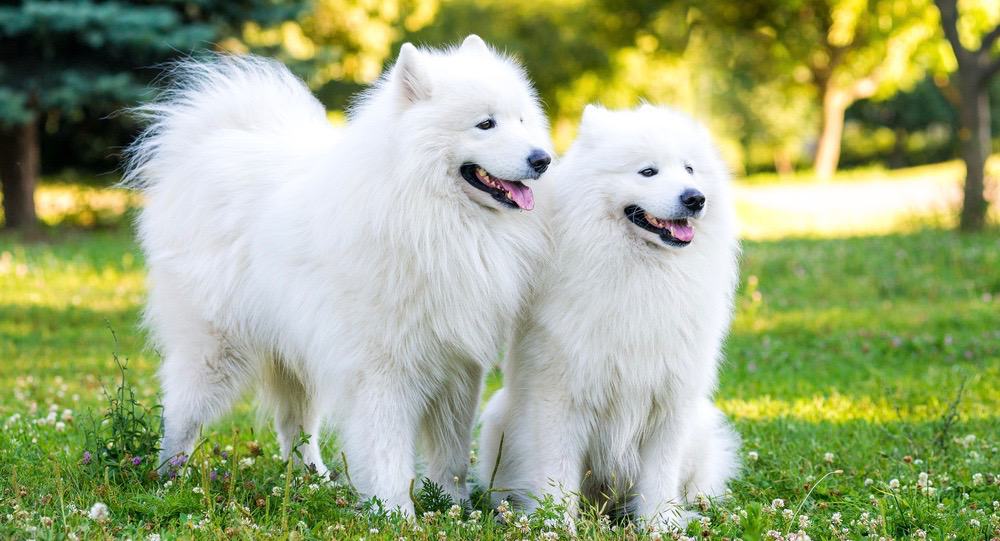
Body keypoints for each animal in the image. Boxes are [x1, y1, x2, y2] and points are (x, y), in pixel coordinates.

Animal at [123, 35, 556, 512]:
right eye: (485, 124)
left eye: (522, 119)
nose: (543, 159)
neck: (427, 212)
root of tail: (211, 143)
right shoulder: (383, 369)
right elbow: (387, 451)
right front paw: (397, 513)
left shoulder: (458, 366)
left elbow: (451, 453)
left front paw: (455, 507)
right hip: (215, 350)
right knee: (182, 414)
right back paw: (169, 480)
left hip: (294, 354)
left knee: (294, 426)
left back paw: (316, 481)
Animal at [476, 103, 744, 524]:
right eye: (647, 171)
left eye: (689, 169)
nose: (695, 198)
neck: (644, 274)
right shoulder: (562, 396)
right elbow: (557, 473)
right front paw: (558, 524)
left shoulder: (671, 400)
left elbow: (660, 476)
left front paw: (661, 525)